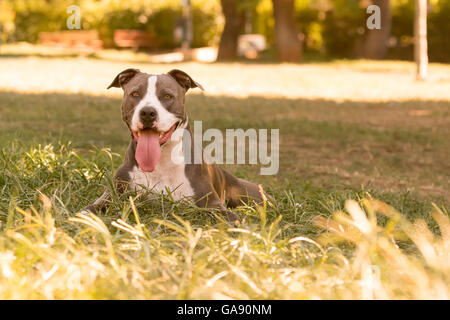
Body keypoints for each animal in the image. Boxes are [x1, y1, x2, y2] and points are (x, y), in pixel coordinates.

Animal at [82, 68, 268, 222]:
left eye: (167, 96)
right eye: (135, 94)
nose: (147, 112)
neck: (161, 162)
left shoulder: (212, 204)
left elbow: (233, 219)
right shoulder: (113, 194)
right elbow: (88, 209)